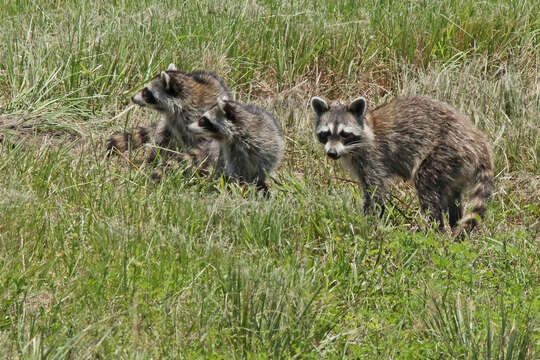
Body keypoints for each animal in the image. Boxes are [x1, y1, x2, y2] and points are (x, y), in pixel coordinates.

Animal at [312, 95, 494, 236]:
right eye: (326, 133)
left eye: (344, 134)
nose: (331, 153)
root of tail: (476, 139)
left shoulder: (374, 158)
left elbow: (376, 192)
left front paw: (368, 222)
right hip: (457, 167)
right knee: (453, 198)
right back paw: (455, 224)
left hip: (446, 151)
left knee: (426, 185)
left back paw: (435, 229)